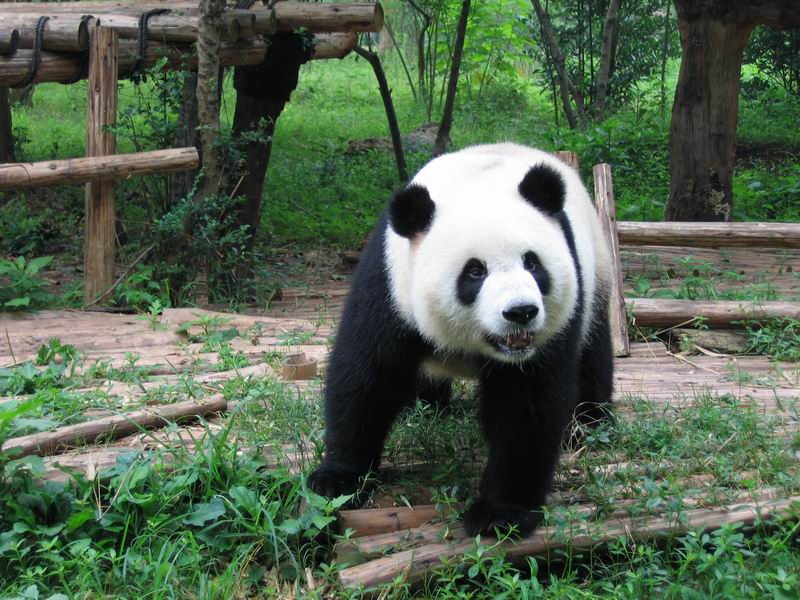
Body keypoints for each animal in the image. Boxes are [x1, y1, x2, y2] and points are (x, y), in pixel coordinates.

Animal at [308, 143, 614, 537]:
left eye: (532, 264)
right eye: (474, 271)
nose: (521, 312)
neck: (477, 181)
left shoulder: (548, 330)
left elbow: (526, 406)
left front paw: (501, 512)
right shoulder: (391, 284)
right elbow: (367, 376)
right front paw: (338, 479)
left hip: (593, 273)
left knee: (593, 352)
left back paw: (589, 423)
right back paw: (428, 407)